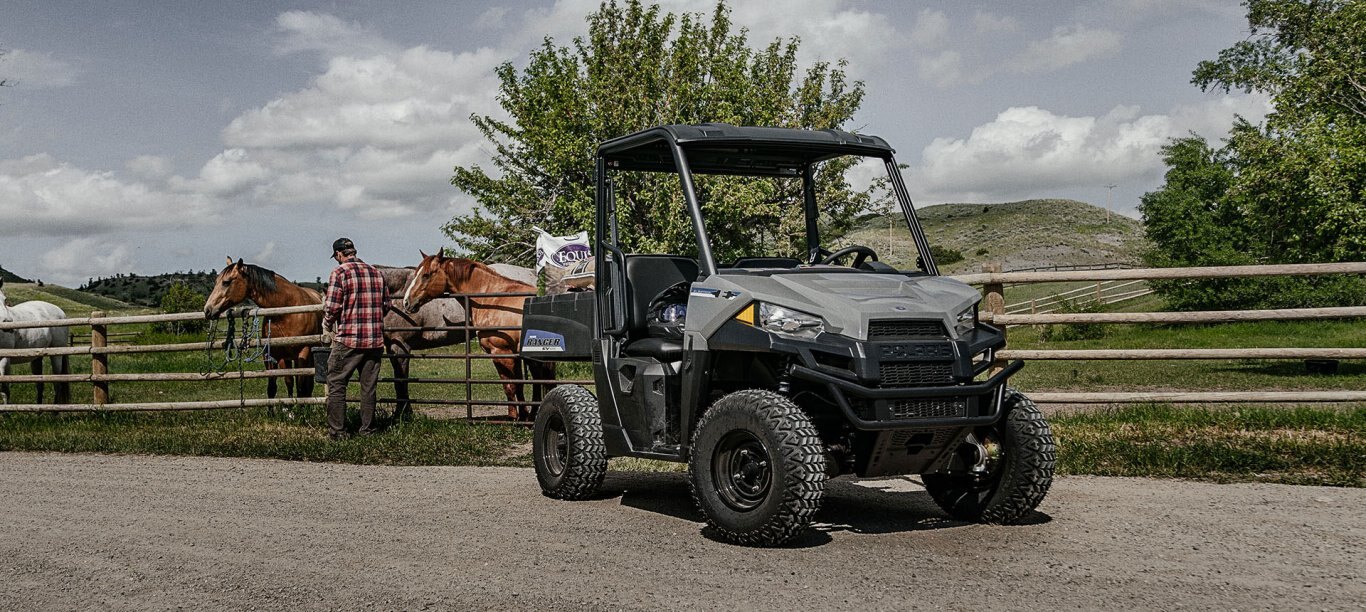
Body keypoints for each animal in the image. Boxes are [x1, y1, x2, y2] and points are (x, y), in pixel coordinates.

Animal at [203, 255, 323, 398]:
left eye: (226, 282)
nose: (207, 310)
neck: (286, 311)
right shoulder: (272, 356)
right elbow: (275, 387)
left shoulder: (303, 354)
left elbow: (301, 388)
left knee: (306, 386)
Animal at [398, 252, 554, 420]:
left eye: (426, 275)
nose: (406, 302)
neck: (491, 299)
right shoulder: (514, 353)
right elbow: (518, 385)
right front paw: (523, 416)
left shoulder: (501, 352)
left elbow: (510, 386)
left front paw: (514, 418)